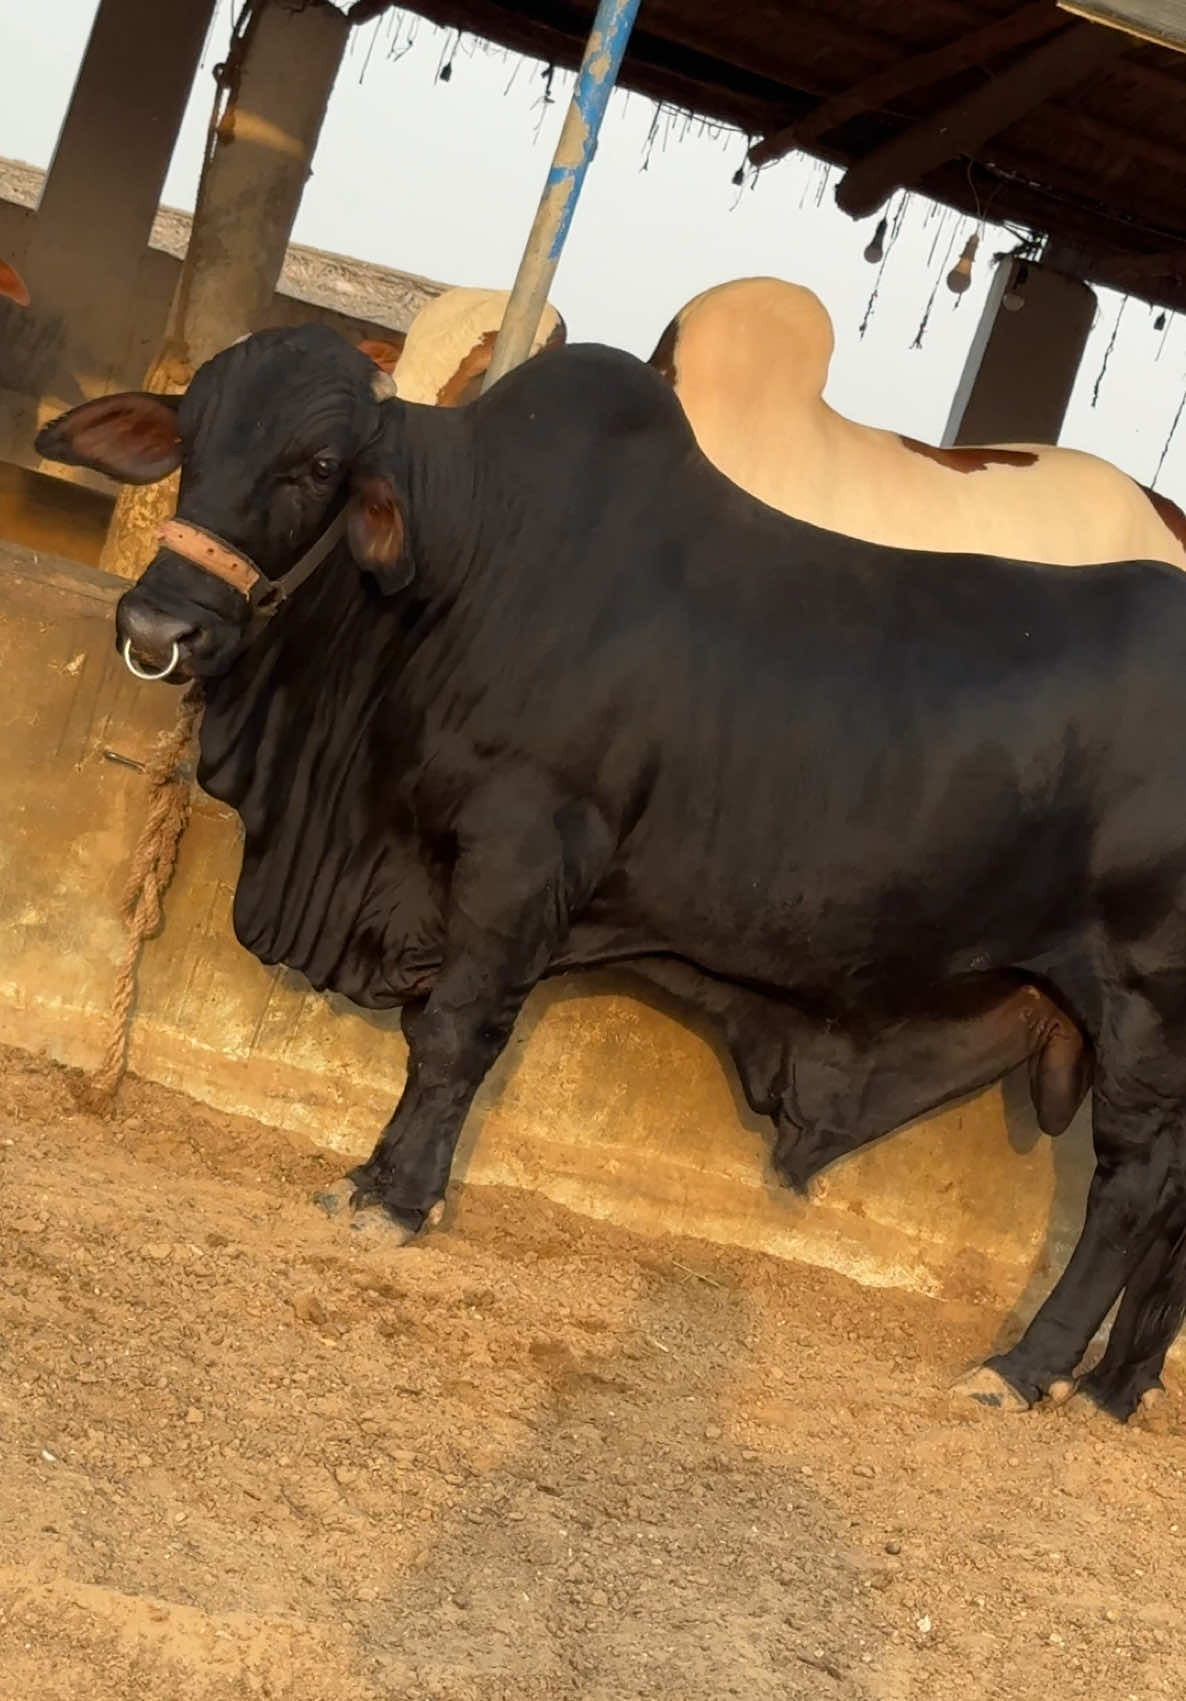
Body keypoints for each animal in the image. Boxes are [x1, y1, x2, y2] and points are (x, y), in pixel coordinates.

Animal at [37, 324, 1186, 1425]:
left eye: (317, 464)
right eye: (191, 439)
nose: (159, 625)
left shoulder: (521, 856)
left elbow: (453, 1035)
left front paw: (393, 1199)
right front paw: (383, 1175)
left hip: (1143, 1009)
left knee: (1134, 1191)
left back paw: (1024, 1369)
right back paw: (1112, 1385)